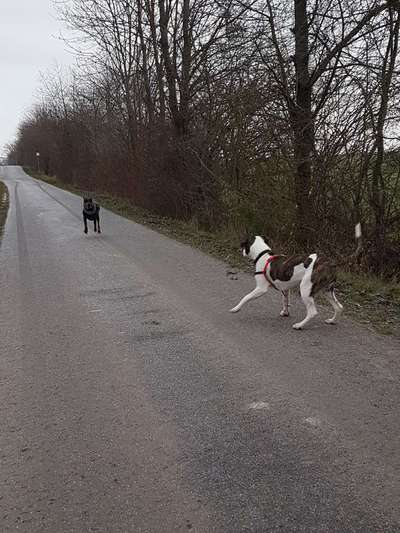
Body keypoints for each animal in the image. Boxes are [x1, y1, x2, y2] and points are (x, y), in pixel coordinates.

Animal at [228, 224, 362, 328]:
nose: (241, 251)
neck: (263, 255)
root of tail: (330, 262)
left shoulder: (261, 288)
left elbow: (245, 297)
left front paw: (236, 308)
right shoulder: (285, 289)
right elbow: (285, 301)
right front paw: (285, 312)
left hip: (306, 289)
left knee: (313, 312)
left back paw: (299, 325)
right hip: (327, 290)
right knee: (339, 307)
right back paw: (331, 321)